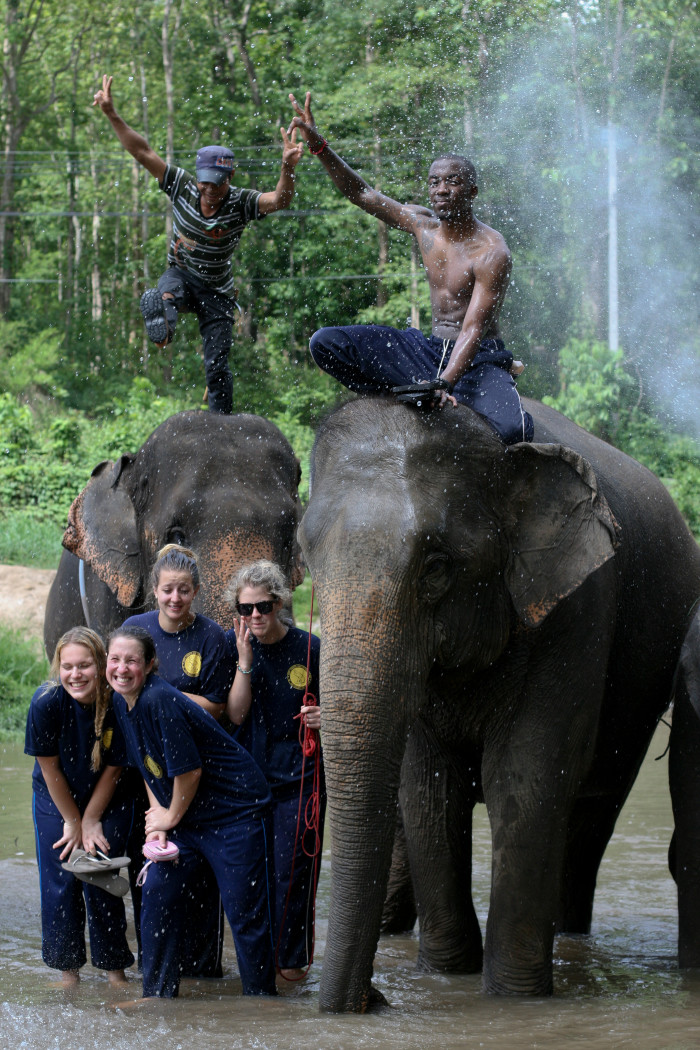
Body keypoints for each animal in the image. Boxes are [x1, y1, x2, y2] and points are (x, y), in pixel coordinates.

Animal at [298, 395, 700, 1013]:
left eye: (436, 566)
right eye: (305, 554)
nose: (374, 998)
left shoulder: (577, 608)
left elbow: (524, 777)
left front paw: (513, 999)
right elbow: (427, 785)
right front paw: (446, 977)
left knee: (590, 821)